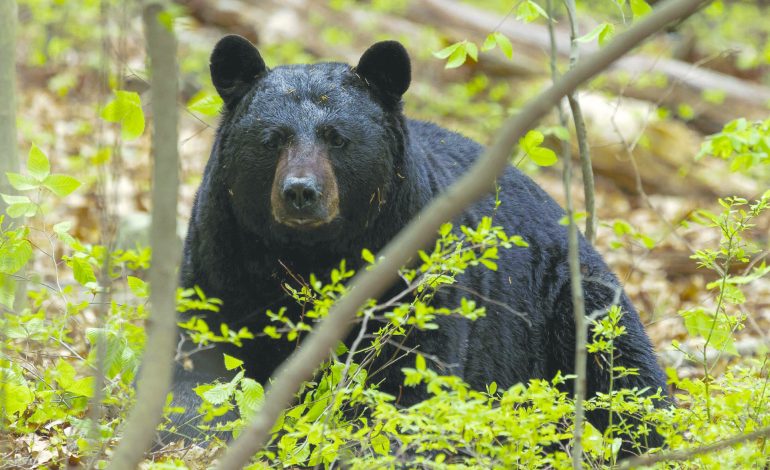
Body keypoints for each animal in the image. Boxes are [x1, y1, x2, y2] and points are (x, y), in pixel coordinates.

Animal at [167, 35, 668, 454]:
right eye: (272, 139)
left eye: (337, 138)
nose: (300, 191)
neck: (310, 254)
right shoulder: (222, 258)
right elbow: (200, 364)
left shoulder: (413, 270)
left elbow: (411, 378)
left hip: (570, 302)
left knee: (626, 375)